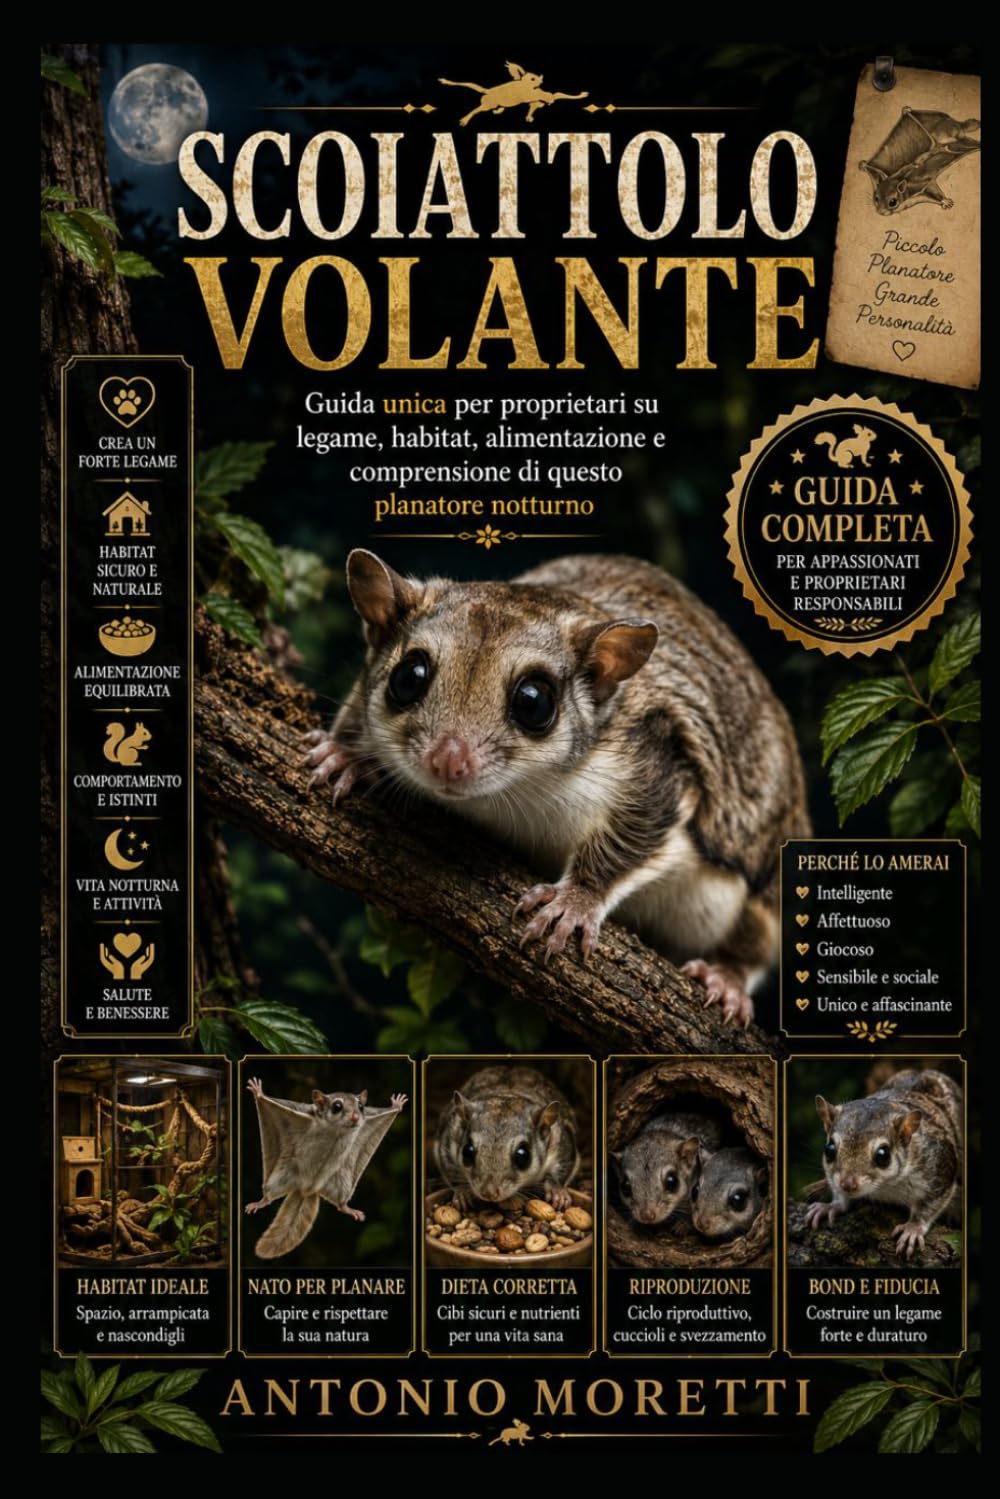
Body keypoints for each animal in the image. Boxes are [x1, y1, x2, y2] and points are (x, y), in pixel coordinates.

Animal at [305, 551, 809, 1027]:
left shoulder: (657, 763)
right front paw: (346, 755)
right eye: (406, 677)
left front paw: (574, 901)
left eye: (534, 702)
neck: (509, 798)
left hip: (758, 894)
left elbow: (636, 836)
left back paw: (726, 979)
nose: (448, 761)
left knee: (755, 942)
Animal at [435, 1065, 579, 1212]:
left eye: (523, 1155)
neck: (507, 1095)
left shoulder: (560, 1143)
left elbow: (561, 1170)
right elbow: (453, 1171)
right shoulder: (450, 1137)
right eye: (467, 1151)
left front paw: (558, 1193)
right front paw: (462, 1193)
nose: (489, 1194)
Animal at [804, 1069, 961, 1259]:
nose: (847, 1184)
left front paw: (913, 1228)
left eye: (883, 1155)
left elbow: (930, 1204)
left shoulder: (939, 1169)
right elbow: (839, 1196)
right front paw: (830, 1206)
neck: (885, 1187)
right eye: (829, 1150)